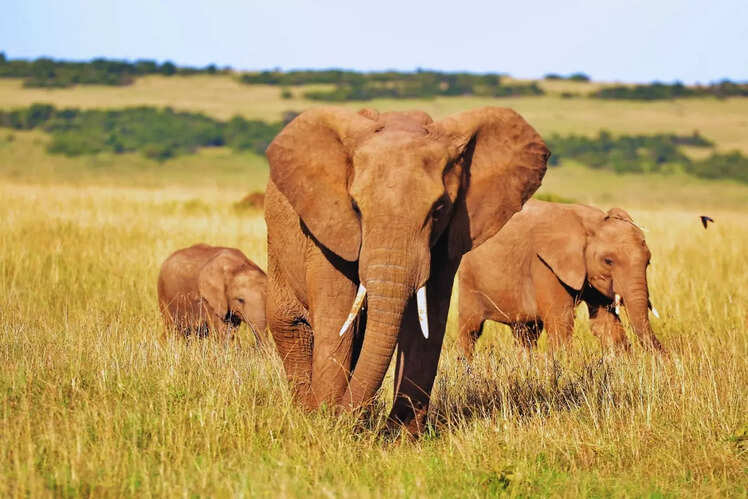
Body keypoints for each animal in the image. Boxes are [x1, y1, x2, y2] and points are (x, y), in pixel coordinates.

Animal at [264, 106, 550, 434]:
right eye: (356, 208)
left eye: (438, 210)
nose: (344, 418)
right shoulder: (328, 229)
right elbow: (337, 318)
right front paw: (327, 423)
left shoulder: (449, 237)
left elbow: (427, 323)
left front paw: (399, 436)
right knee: (291, 326)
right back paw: (306, 412)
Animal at [457, 200, 665, 361]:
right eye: (608, 261)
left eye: (648, 261)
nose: (665, 359)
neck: (590, 223)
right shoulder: (544, 263)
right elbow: (561, 320)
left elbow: (604, 323)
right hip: (468, 277)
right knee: (471, 329)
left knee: (526, 333)